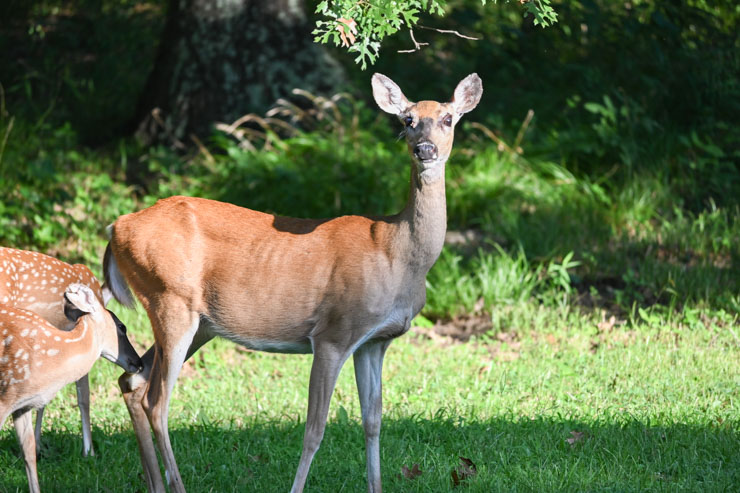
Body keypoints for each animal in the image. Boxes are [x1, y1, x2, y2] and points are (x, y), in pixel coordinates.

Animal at [105, 71, 486, 490]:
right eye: (408, 120)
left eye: (448, 118)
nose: (425, 149)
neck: (396, 253)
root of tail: (117, 227)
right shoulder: (333, 333)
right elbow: (315, 429)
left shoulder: (375, 341)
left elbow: (373, 421)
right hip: (170, 301)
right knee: (156, 401)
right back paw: (176, 483)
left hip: (198, 322)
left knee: (132, 381)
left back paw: (155, 483)